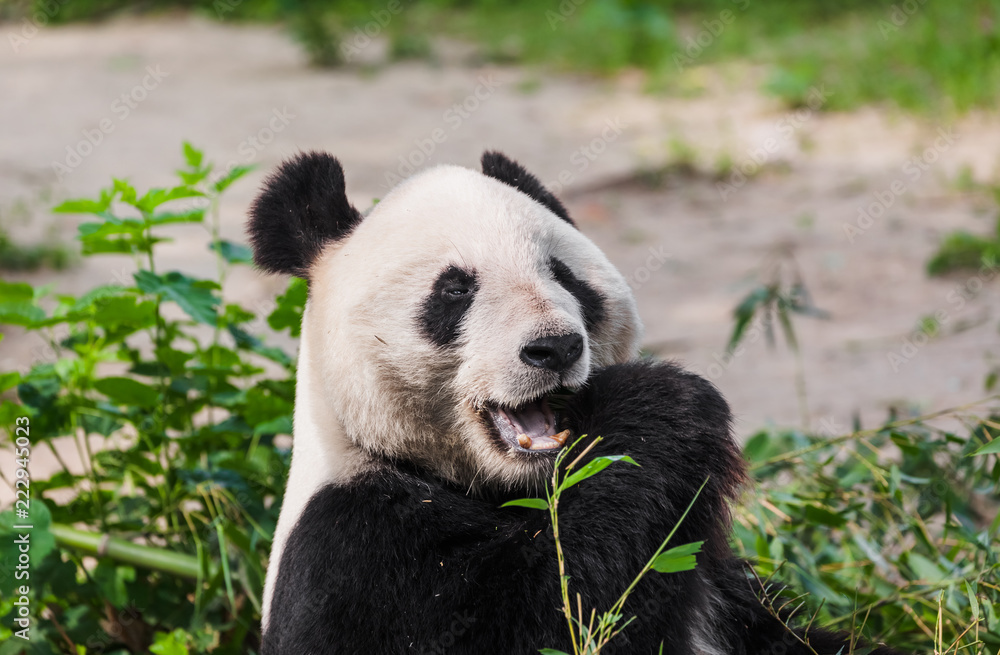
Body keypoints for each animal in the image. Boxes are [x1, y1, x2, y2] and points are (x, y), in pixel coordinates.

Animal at [248, 151, 901, 655]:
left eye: (564, 275)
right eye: (455, 290)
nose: (554, 347)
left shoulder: (722, 588)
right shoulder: (353, 550)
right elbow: (562, 616)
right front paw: (662, 404)